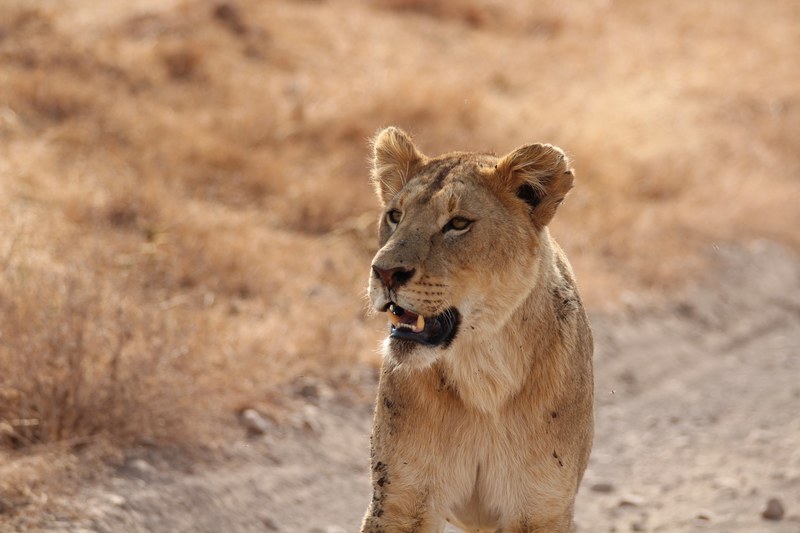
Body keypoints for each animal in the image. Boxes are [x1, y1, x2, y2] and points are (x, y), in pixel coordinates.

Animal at [361, 127, 594, 533]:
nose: (385, 272)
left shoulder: (540, 505)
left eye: (457, 224)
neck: (483, 371)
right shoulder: (401, 497)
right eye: (395, 215)